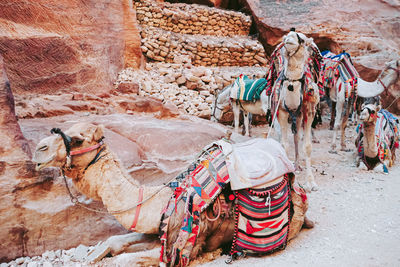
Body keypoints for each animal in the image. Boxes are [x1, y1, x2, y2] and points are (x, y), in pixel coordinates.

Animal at [32, 123, 314, 266]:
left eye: (77, 139)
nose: (39, 149)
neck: (161, 200)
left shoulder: (181, 245)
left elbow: (123, 260)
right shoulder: (159, 227)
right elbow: (116, 241)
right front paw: (93, 254)